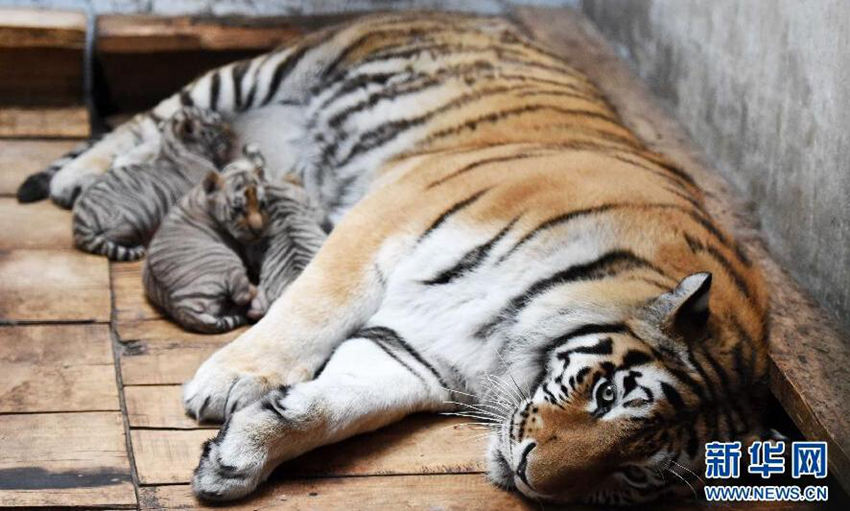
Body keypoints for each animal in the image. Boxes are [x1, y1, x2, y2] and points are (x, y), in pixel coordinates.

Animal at [24, 11, 768, 504]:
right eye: (608, 394)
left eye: (638, 471)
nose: (532, 477)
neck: (509, 340)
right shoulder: (386, 216)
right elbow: (309, 309)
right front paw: (231, 382)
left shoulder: (416, 353)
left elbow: (334, 406)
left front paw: (241, 452)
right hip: (253, 75)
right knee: (149, 117)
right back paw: (74, 177)